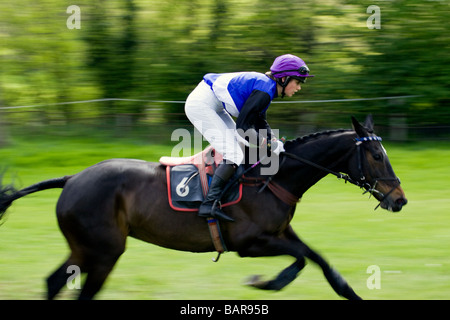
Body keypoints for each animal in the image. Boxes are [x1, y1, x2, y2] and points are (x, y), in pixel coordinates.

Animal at [0, 115, 408, 300]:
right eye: (376, 155)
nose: (400, 199)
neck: (273, 179)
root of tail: (71, 179)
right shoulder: (250, 244)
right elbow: (300, 260)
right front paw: (264, 282)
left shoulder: (281, 233)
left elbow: (319, 260)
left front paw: (348, 291)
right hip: (103, 251)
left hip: (84, 248)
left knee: (55, 281)